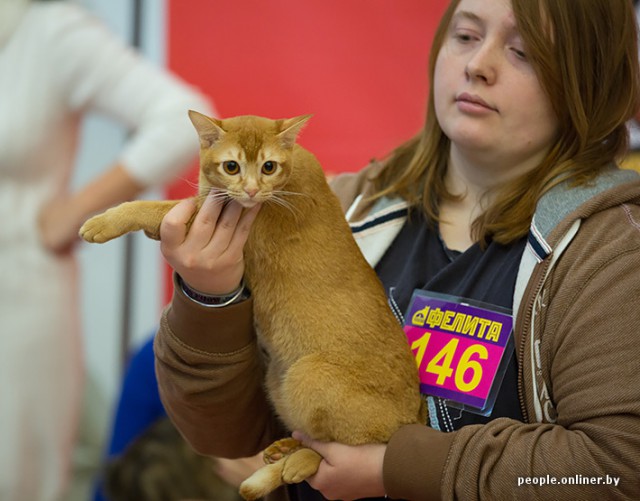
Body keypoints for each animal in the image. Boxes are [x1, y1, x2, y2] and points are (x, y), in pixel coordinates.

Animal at [81, 111, 430, 498]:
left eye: (268, 166)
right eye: (231, 166)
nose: (250, 190)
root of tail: (414, 414)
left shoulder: (213, 218)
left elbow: (153, 208)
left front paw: (103, 221)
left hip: (308, 376)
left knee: (350, 447)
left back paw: (289, 466)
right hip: (278, 382)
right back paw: (284, 450)